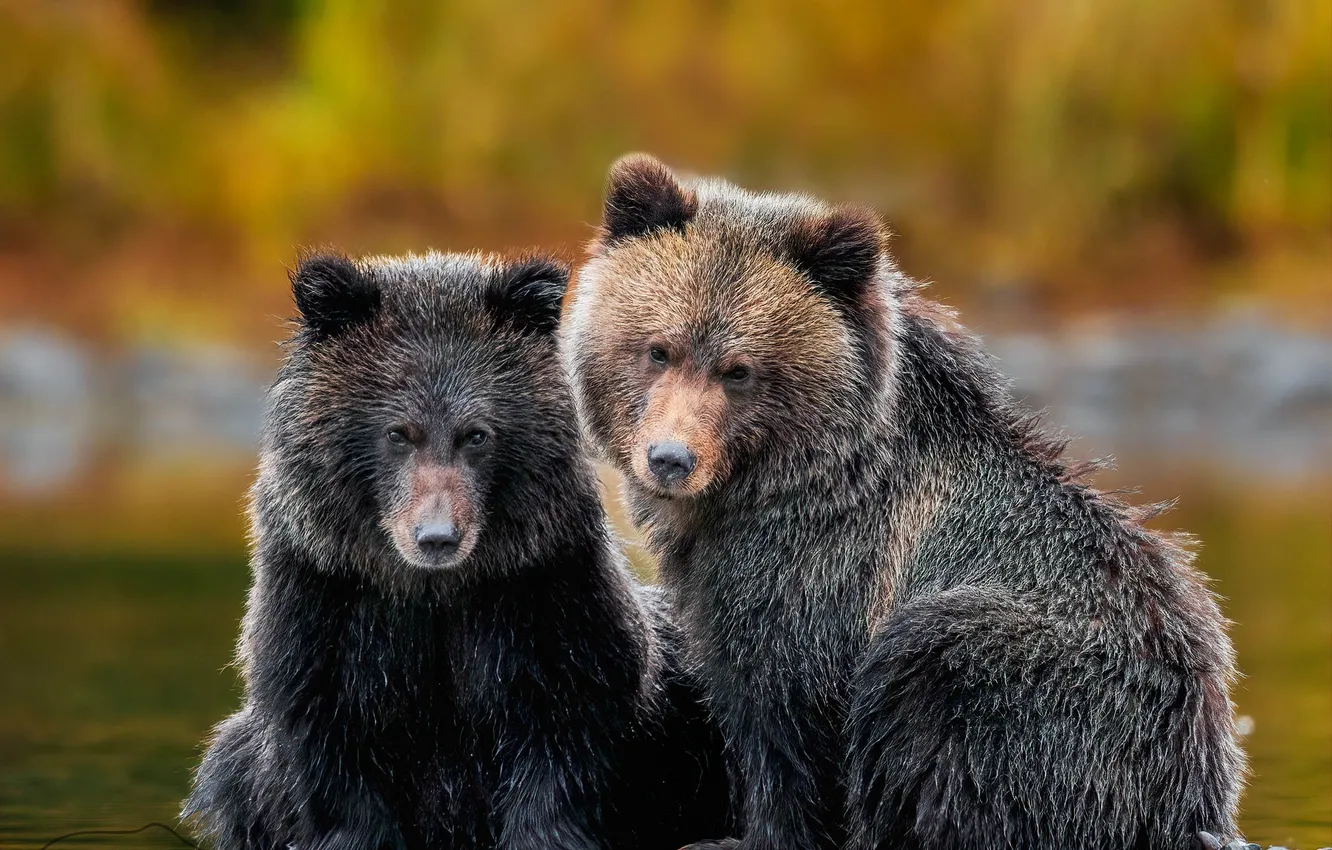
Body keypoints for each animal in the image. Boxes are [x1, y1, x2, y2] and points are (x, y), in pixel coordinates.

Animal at [182, 250, 732, 850]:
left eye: (476, 434)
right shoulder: (330, 619)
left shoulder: (547, 614)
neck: (437, 594)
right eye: (398, 432)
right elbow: (341, 772)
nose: (438, 535)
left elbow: (557, 760)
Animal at [561, 154, 1246, 850]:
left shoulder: (817, 574)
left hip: (1046, 690)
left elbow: (786, 724)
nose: (670, 458)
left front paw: (749, 834)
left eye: (739, 370)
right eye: (658, 348)